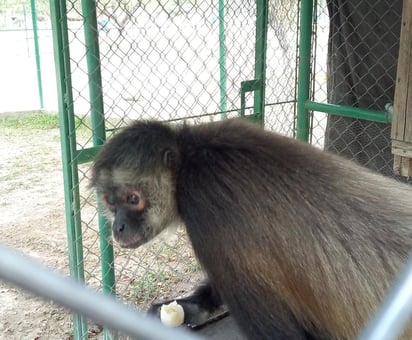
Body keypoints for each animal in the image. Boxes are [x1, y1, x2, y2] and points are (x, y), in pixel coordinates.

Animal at [91, 118, 412, 338]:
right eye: (109, 201)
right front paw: (189, 308)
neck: (189, 159)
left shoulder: (204, 206)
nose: (119, 227)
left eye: (133, 199)